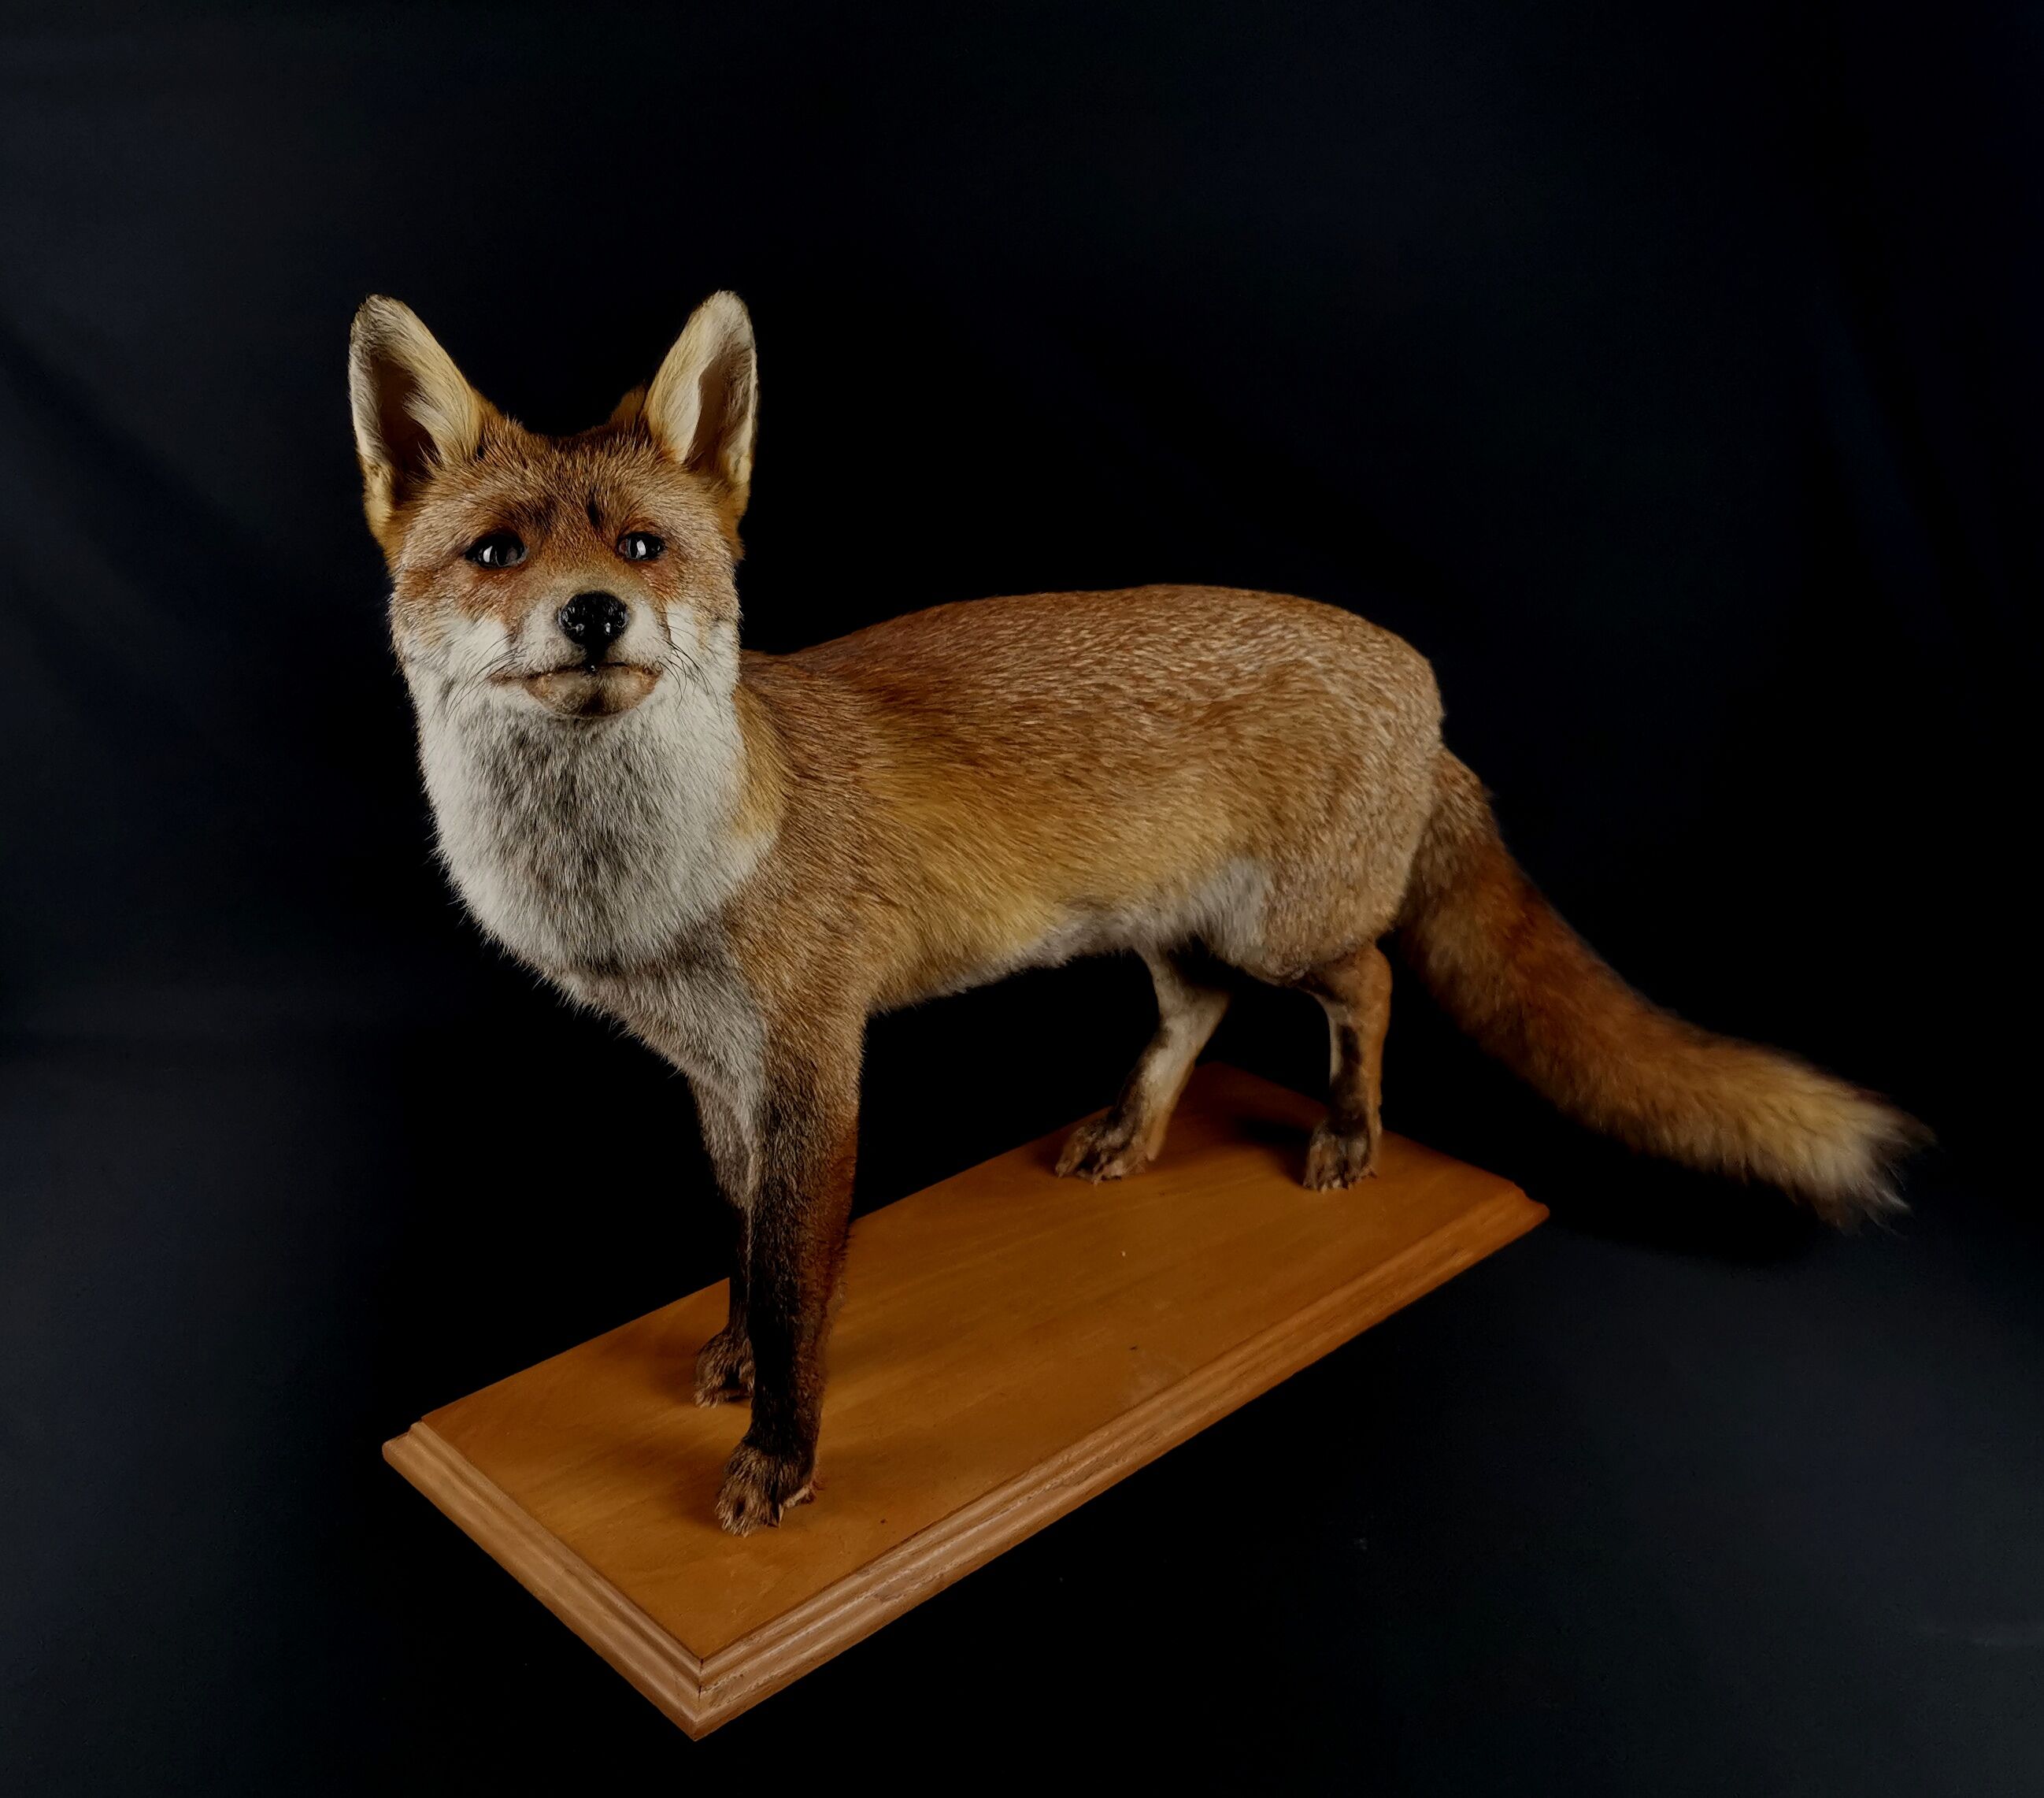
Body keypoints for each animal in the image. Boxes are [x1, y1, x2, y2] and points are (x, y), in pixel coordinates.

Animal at [350, 290, 1923, 1535]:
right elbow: (741, 1246)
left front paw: (779, 1459)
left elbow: (803, 1284)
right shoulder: (715, 1074)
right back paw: (1130, 1133)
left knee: (1368, 983)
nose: (594, 615)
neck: (649, 888)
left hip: (1288, 928)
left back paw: (1349, 1136)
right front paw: (733, 1357)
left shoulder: (818, 1068)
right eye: (497, 554)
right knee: (1199, 1011)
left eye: (640, 546)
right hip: (1175, 933)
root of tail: (1420, 679)